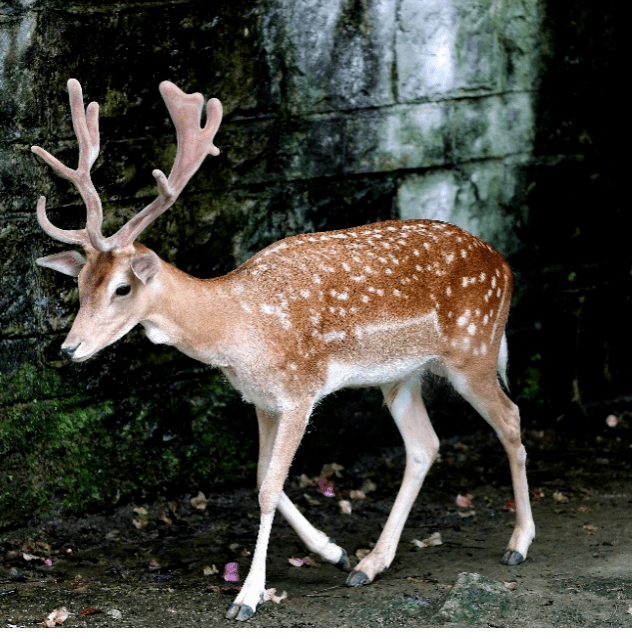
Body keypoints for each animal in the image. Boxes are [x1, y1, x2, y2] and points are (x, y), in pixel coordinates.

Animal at [32, 77, 536, 624]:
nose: (69, 348)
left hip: (475, 349)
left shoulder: (300, 390)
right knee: (425, 445)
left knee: (511, 419)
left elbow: (270, 486)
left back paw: (518, 543)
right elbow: (257, 476)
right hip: (400, 375)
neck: (237, 328)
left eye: (122, 288)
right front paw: (333, 551)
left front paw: (248, 597)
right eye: (80, 283)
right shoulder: (260, 399)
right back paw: (369, 564)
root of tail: (504, 265)